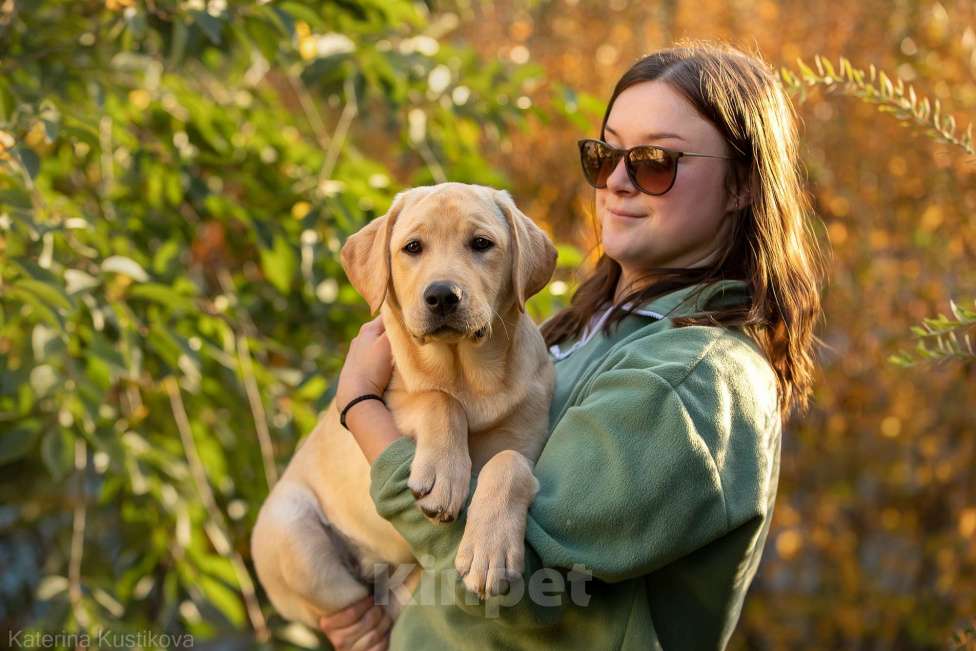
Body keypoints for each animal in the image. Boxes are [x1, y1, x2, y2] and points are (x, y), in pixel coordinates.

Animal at [250, 181, 556, 628]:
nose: (442, 295)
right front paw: (443, 474)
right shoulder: (393, 399)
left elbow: (509, 462)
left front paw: (490, 549)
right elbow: (438, 399)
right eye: (412, 247)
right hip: (294, 537)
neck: (465, 374)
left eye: (482, 244)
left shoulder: (526, 440)